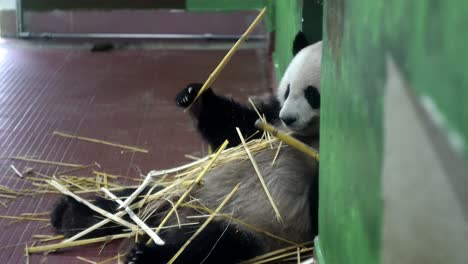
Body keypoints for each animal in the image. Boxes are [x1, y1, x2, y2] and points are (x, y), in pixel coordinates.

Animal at [50, 32, 322, 264]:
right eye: (287, 90)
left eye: (312, 94)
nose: (288, 118)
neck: (306, 135)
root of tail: (177, 218)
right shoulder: (269, 121)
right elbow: (236, 129)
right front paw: (194, 96)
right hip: (178, 190)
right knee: (131, 200)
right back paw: (71, 214)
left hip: (250, 227)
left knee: (207, 245)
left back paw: (144, 255)